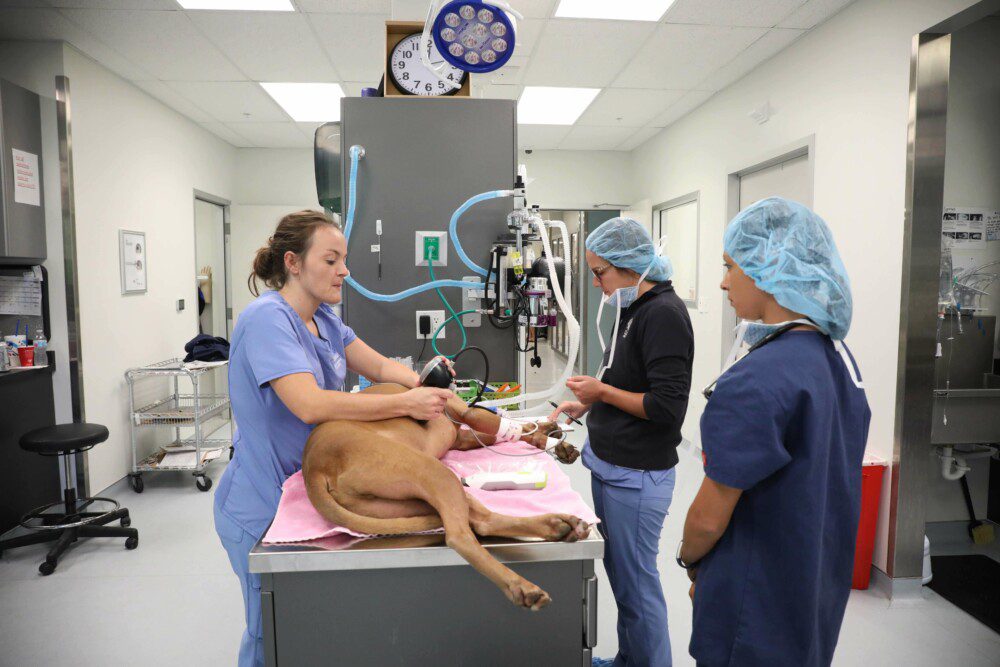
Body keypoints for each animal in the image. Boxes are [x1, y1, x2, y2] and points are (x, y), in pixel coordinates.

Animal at [300, 386, 588, 612]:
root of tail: (313, 468)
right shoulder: (465, 413)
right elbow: (508, 426)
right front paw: (549, 436)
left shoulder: (462, 437)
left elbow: (510, 433)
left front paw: (551, 438)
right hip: (430, 470)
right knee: (459, 535)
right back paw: (521, 586)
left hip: (405, 497)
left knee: (482, 520)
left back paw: (555, 526)